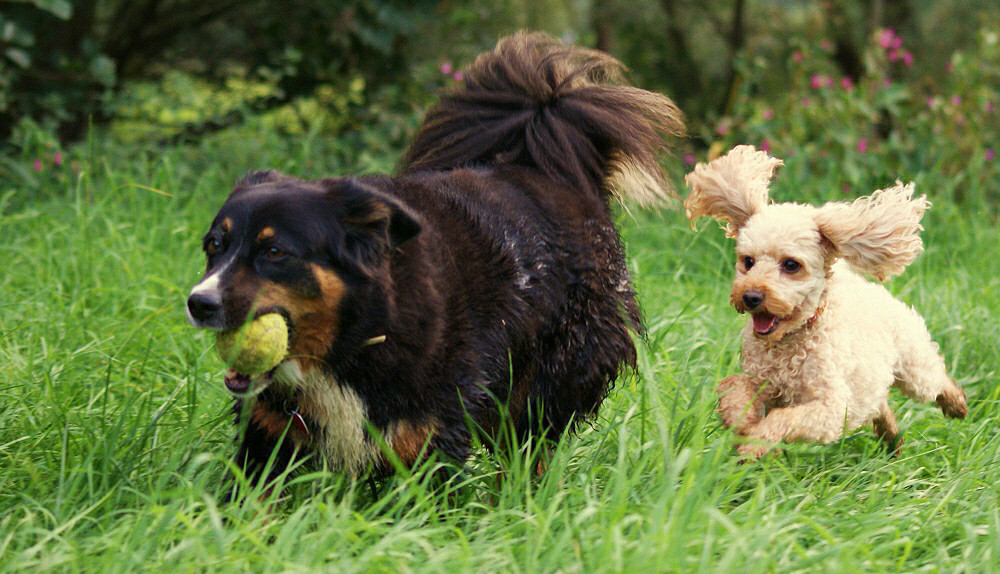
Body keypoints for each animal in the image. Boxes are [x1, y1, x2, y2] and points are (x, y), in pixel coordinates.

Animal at [187, 33, 684, 488]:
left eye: (275, 252)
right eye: (214, 246)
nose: (199, 304)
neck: (357, 335)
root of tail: (558, 175)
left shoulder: (426, 434)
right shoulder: (267, 435)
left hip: (552, 377)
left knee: (529, 450)